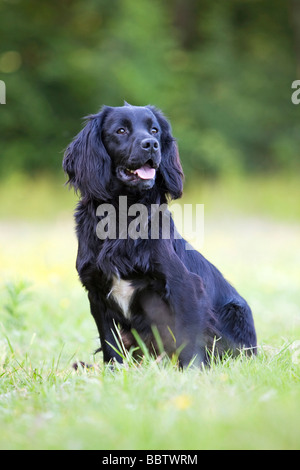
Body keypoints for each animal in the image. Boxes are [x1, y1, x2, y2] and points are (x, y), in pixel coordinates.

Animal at [62, 103, 255, 368]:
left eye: (154, 130)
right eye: (121, 130)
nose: (151, 144)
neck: (123, 213)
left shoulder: (185, 286)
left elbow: (189, 341)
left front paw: (191, 372)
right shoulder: (97, 292)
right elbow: (109, 343)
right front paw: (113, 372)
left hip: (236, 309)